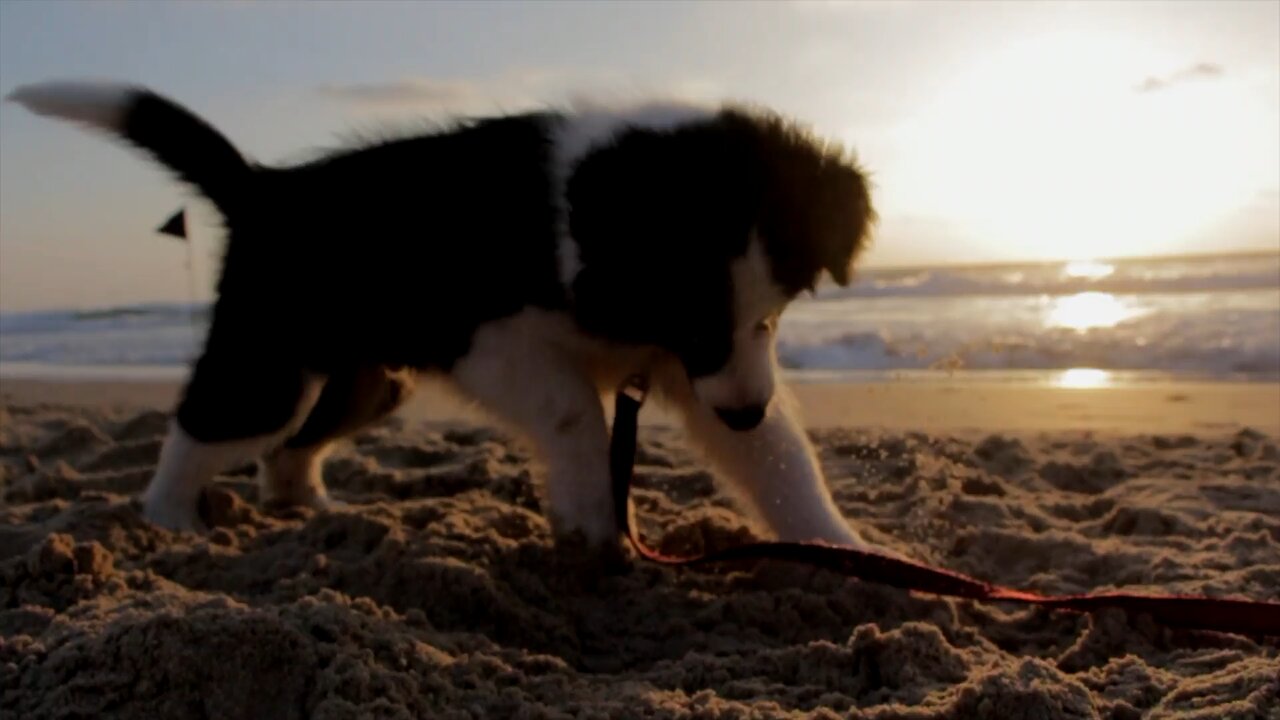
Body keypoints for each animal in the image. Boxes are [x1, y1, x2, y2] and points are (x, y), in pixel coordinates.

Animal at [5, 81, 880, 556]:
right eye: (693, 318)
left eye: (776, 316)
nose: (743, 409)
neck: (572, 225)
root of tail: (266, 187)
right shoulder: (489, 338)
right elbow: (575, 410)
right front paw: (591, 519)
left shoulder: (699, 367)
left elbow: (780, 458)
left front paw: (841, 549)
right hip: (269, 359)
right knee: (207, 427)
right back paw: (169, 522)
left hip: (368, 379)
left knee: (289, 447)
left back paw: (309, 509)